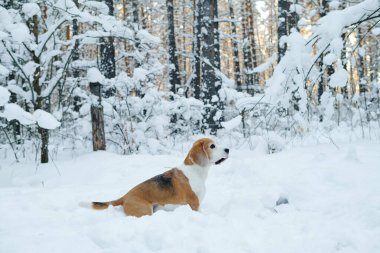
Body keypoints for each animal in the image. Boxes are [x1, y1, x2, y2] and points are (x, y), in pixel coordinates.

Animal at [86, 138, 229, 217]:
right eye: (212, 146)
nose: (228, 149)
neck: (195, 170)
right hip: (145, 210)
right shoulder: (194, 205)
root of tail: (125, 196)